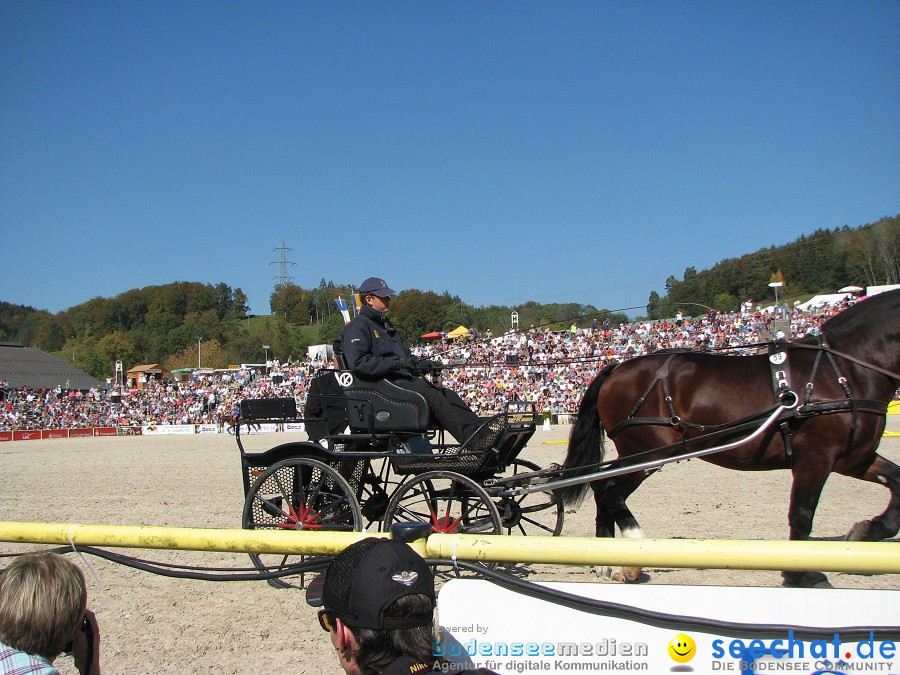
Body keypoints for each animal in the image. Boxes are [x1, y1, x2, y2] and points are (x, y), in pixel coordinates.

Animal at [560, 290, 896, 588]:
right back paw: (633, 556)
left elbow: (895, 483)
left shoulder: (852, 458)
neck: (841, 371)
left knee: (602, 487)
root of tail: (617, 367)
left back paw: (608, 559)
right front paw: (799, 574)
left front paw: (866, 532)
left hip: (639, 454)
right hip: (647, 453)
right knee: (610, 490)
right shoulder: (816, 458)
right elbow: (802, 514)